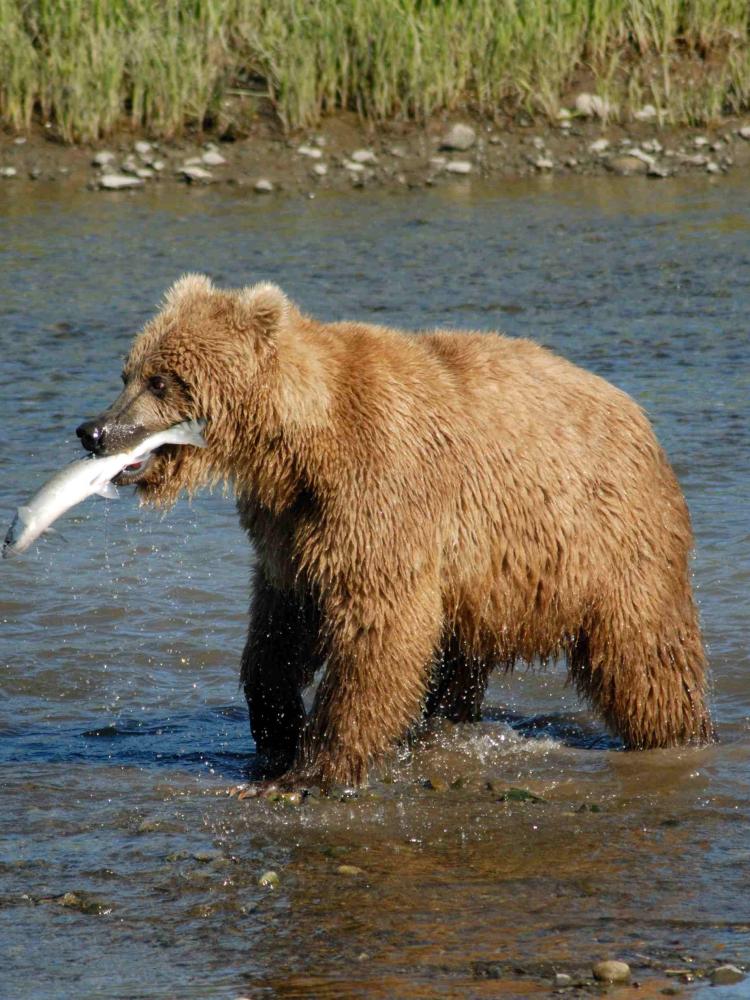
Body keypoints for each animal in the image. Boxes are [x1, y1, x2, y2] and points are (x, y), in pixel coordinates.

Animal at [75, 274, 714, 789]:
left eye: (162, 380)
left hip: (607, 539)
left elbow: (378, 625)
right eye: (128, 372)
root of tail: (638, 417)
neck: (294, 446)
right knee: (460, 659)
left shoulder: (381, 488)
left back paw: (678, 734)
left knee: (644, 653)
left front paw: (313, 768)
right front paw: (276, 730)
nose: (94, 431)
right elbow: (280, 627)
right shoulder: (289, 527)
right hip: (488, 581)